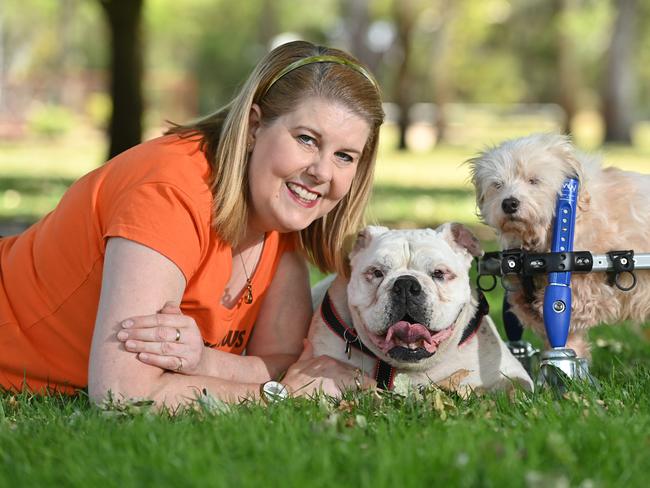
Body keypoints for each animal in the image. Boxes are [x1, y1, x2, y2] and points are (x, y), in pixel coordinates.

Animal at [466, 133, 648, 358]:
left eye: (534, 180)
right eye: (497, 185)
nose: (509, 203)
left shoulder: (579, 300)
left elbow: (565, 335)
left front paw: (565, 364)